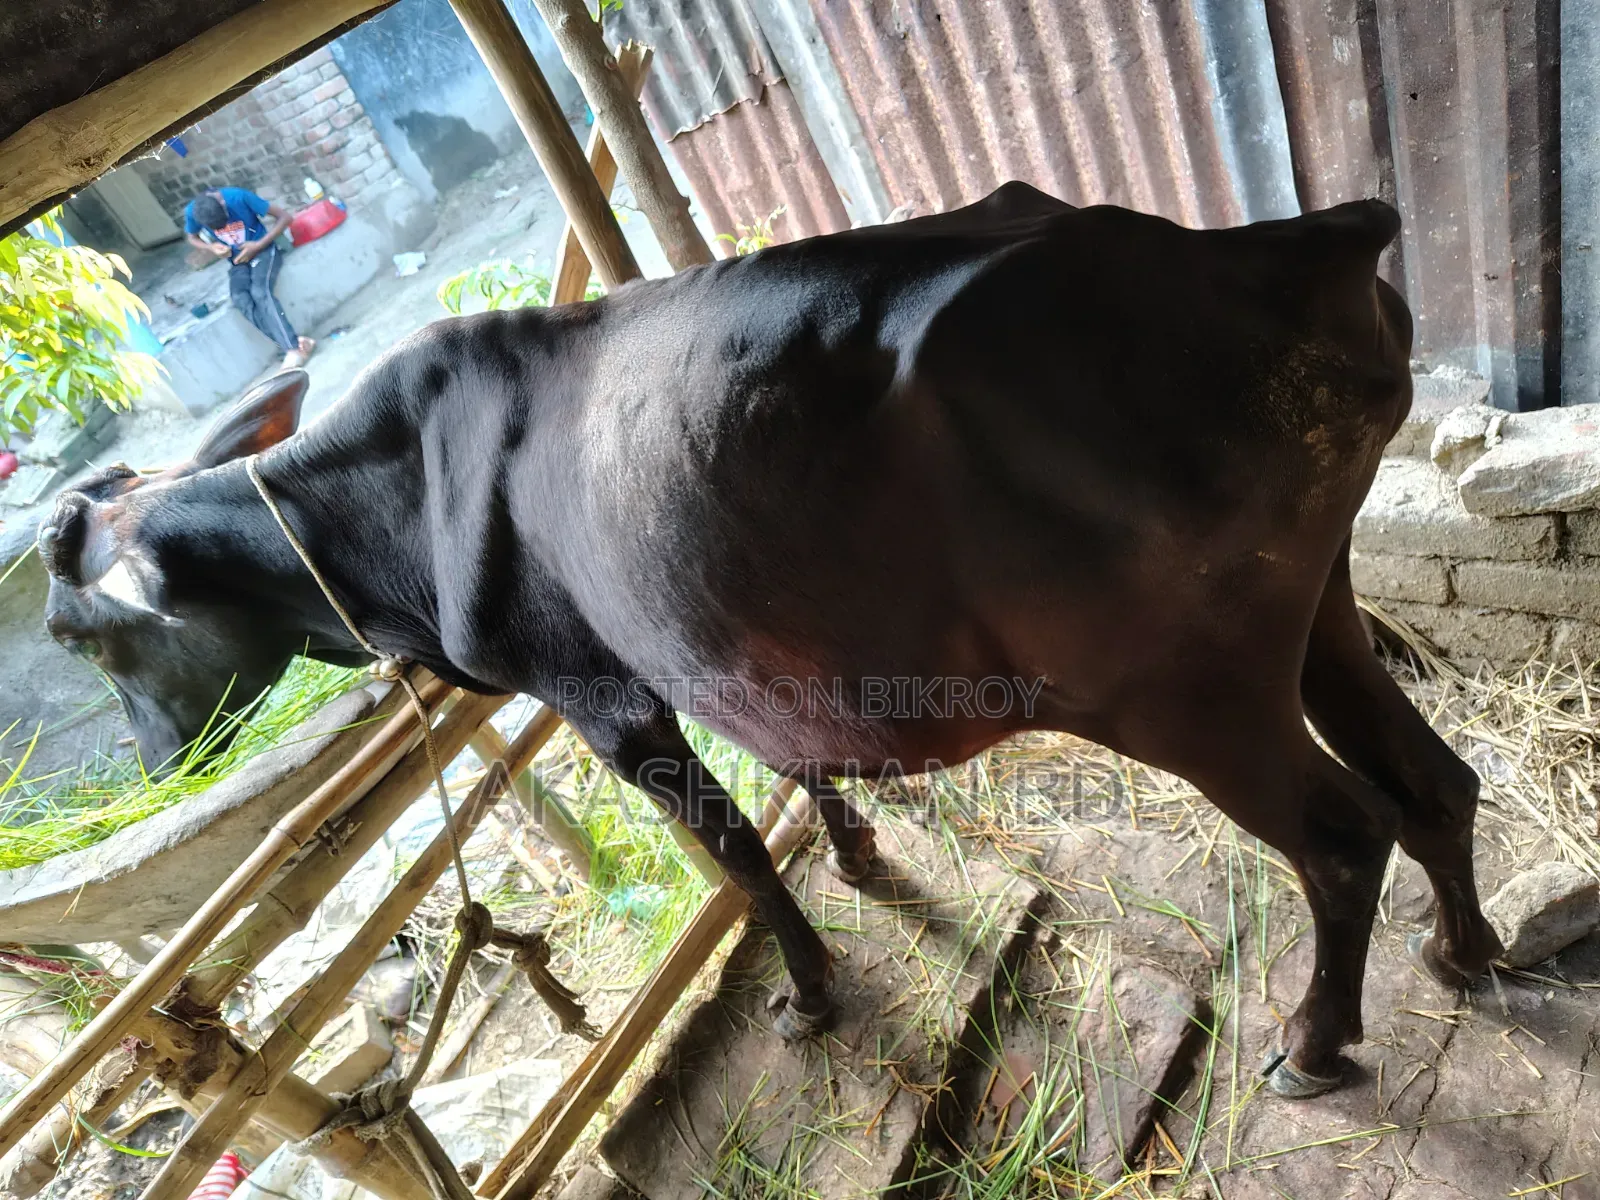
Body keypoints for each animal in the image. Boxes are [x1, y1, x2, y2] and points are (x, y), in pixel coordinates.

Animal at [36, 183, 1502, 1098]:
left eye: (77, 634)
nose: (157, 768)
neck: (386, 497)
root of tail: (1280, 247)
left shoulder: (602, 695)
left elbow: (731, 852)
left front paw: (808, 984)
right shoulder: (730, 643)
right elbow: (792, 759)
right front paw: (858, 854)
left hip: (1187, 687)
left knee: (1342, 834)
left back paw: (1315, 1045)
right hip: (1314, 602)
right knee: (1435, 779)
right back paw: (1466, 954)